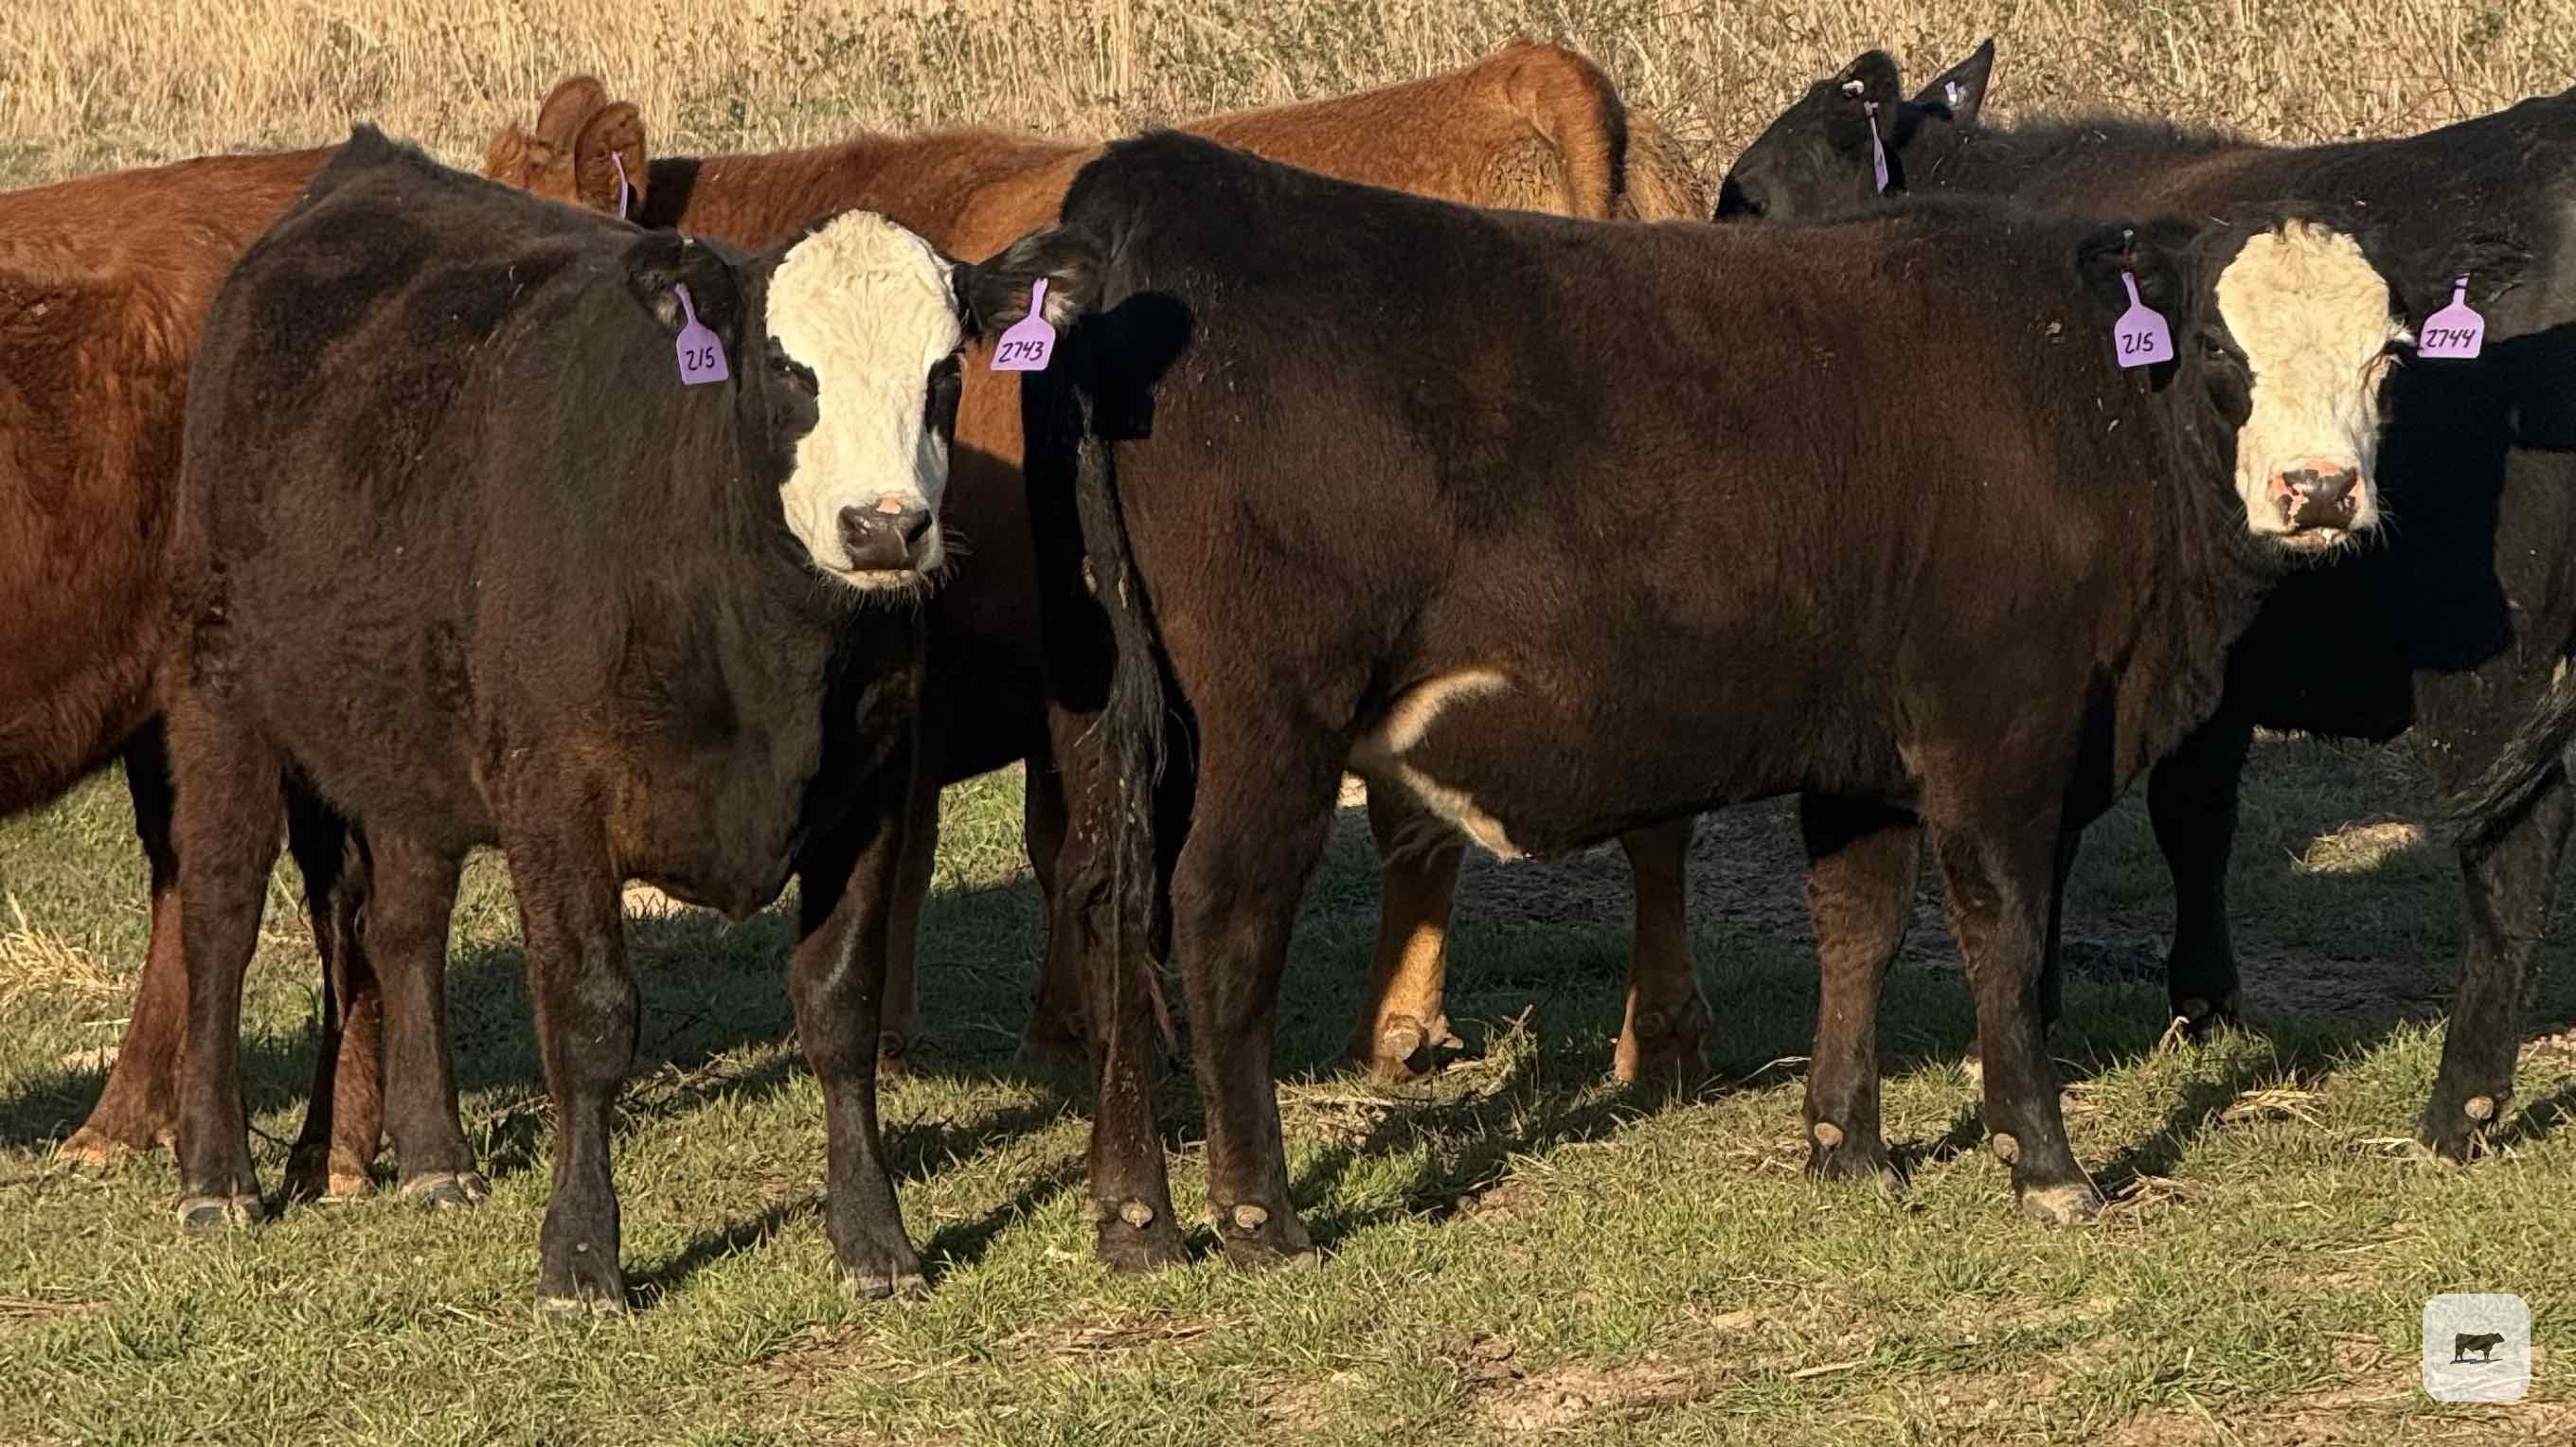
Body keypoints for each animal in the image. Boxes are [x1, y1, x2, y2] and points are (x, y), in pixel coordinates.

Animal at [166, 128, 1093, 1308]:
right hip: (219, 686)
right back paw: (216, 1176)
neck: (761, 652)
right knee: (221, 913)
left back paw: (434, 1155)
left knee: (407, 925)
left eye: (943, 373)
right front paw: (580, 1255)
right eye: (785, 368)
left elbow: (838, 1009)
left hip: (416, 738)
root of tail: (365, 167)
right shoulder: (557, 796)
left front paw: (874, 1239)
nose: (884, 527)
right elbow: (590, 1017)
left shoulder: (872, 785)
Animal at [477, 47, 1716, 1092]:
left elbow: (937, 839)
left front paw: (923, 1026)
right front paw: (1069, 1016)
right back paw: (1645, 1036)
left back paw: (1411, 1027)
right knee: (1650, 815)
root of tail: (1526, 75)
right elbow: (1055, 837)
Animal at [1017, 131, 2415, 1267]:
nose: (2319, 490)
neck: (2083, 394)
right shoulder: (1999, 734)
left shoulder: (1863, 752)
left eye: (2386, 360)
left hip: (1124, 728)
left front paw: (1845, 1143)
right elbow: (2003, 935)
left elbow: (1857, 924)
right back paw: (1261, 1216)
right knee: (1219, 921)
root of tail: (1155, 183)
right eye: (2223, 346)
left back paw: (1133, 1215)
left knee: (1109, 905)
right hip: (1271, 725)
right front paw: (2046, 1165)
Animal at [1718, 42, 2576, 1162]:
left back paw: (2458, 1107)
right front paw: (2202, 1002)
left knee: (2514, 852)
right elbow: (2193, 815)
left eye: (1749, 196)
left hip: (2493, 674)